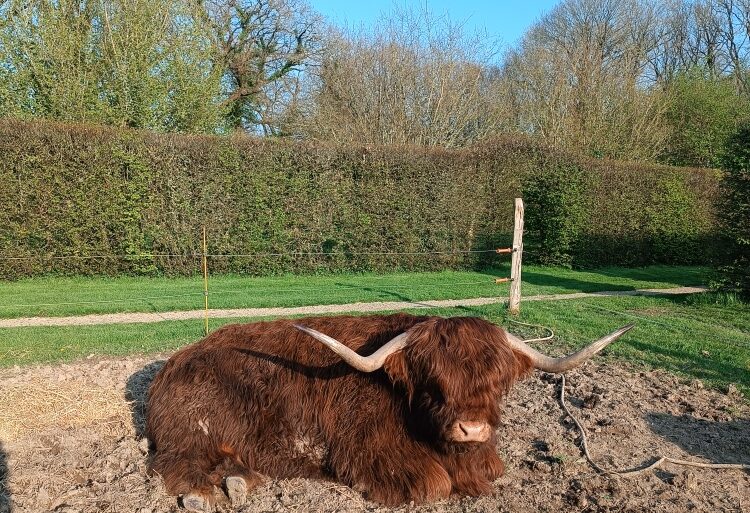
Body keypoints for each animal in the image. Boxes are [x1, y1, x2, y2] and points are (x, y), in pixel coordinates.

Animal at [146, 313, 632, 511]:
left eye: (496, 382)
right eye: (433, 382)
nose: (471, 429)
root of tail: (173, 362)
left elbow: (491, 470)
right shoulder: (366, 450)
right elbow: (435, 485)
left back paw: (238, 481)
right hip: (195, 427)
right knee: (175, 461)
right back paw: (204, 492)